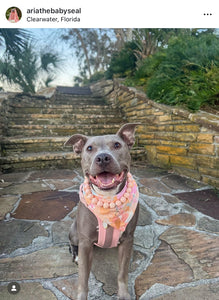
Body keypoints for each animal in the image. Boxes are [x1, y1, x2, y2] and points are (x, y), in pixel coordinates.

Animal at [65, 123, 140, 298]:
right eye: (89, 148)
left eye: (117, 145)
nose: (103, 157)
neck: (108, 199)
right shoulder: (85, 242)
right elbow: (83, 279)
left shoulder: (127, 240)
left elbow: (122, 273)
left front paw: (124, 294)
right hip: (75, 231)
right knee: (72, 243)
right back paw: (75, 255)